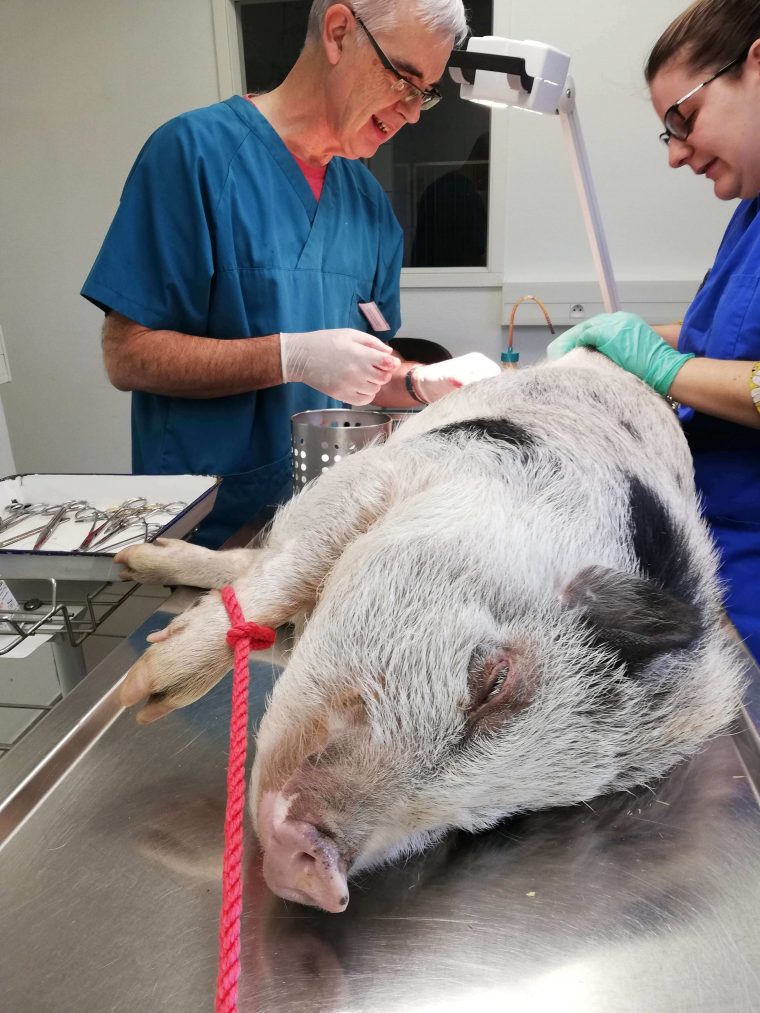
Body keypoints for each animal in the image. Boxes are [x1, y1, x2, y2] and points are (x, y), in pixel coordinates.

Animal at [116, 352, 745, 915]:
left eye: (499, 819)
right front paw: (144, 695)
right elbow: (299, 559)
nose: (323, 882)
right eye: (494, 682)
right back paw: (136, 561)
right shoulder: (393, 472)